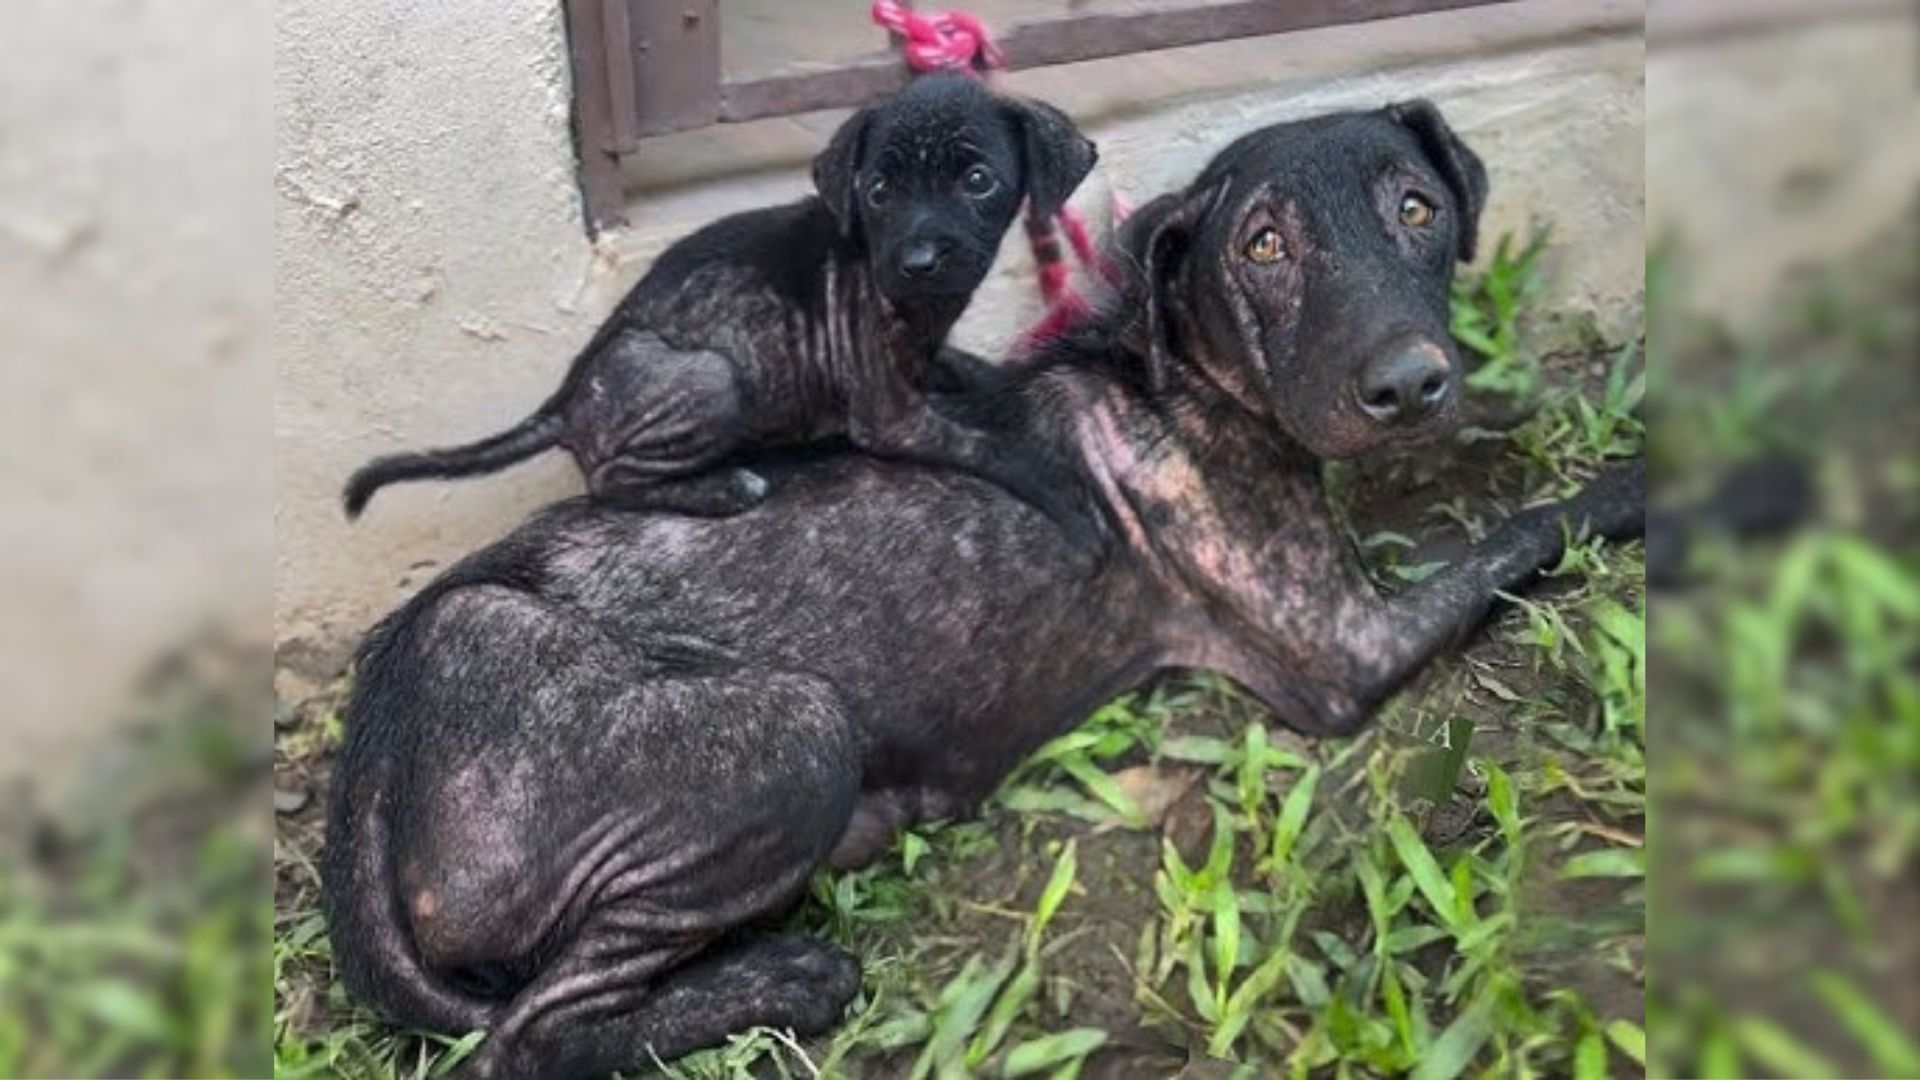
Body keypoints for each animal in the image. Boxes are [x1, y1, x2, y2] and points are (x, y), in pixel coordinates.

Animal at [343, 71, 1098, 522]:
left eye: (977, 181)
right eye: (879, 191)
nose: (914, 262)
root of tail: (567, 400)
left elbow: (966, 368)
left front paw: (991, 373)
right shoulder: (890, 418)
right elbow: (984, 446)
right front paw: (1062, 482)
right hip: (713, 378)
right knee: (610, 480)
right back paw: (724, 486)